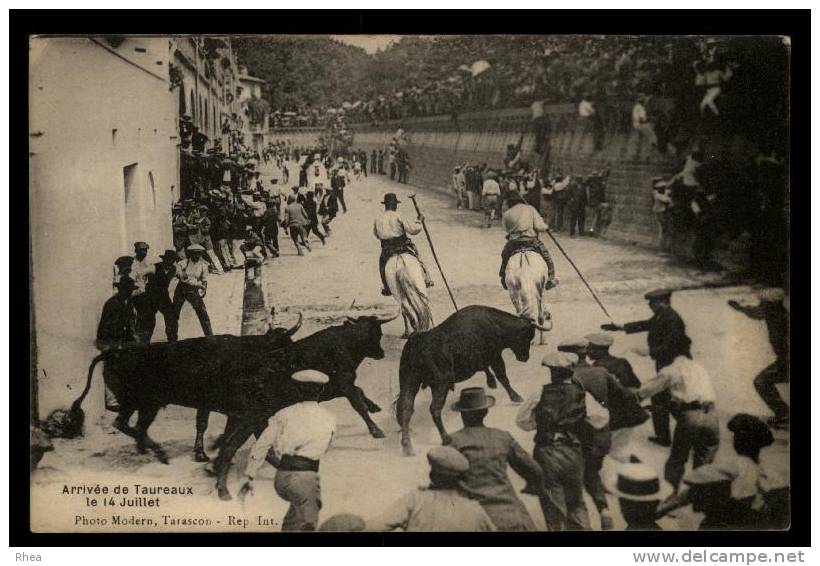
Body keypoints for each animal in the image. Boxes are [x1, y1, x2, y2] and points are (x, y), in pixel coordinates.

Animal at [398, 306, 548, 458]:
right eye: (528, 336)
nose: (524, 357)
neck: (496, 324)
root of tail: (417, 345)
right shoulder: (495, 356)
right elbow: (502, 377)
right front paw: (516, 397)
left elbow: (486, 369)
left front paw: (491, 382)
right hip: (440, 384)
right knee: (434, 409)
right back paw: (446, 438)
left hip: (409, 382)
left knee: (406, 409)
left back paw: (407, 446)